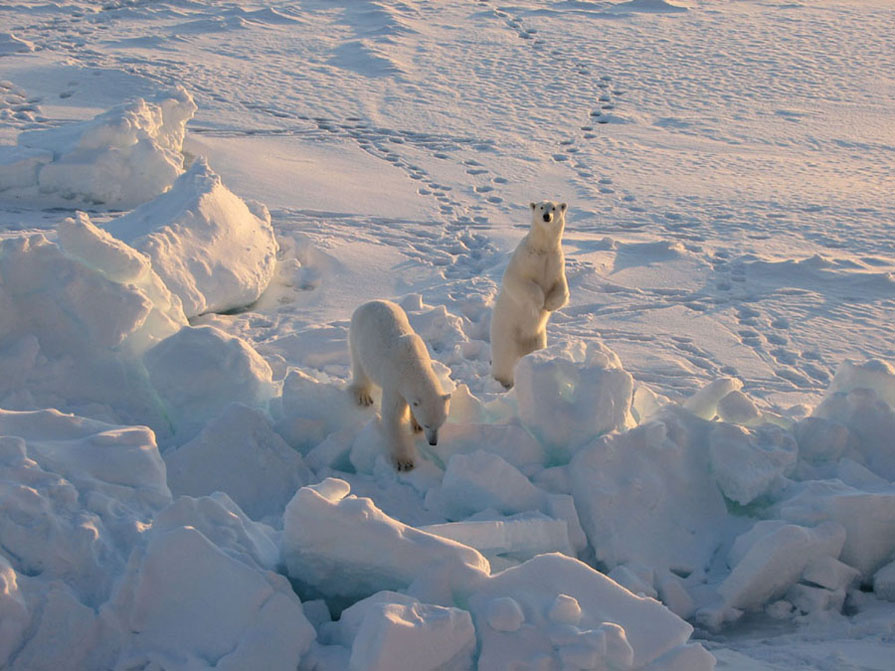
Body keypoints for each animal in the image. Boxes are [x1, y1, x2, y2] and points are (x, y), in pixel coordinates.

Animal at [348, 299, 451, 471]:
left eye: (440, 424)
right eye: (427, 424)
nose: (433, 443)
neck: (412, 363)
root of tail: (368, 303)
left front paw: (414, 425)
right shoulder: (394, 383)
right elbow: (393, 417)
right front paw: (404, 462)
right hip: (356, 336)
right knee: (360, 367)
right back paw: (363, 395)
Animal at [490, 200, 569, 388]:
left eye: (554, 208)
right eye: (541, 207)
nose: (546, 217)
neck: (542, 248)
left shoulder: (556, 262)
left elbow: (562, 288)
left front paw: (549, 305)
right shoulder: (524, 259)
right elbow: (517, 280)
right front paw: (540, 302)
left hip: (538, 338)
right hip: (506, 336)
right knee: (504, 361)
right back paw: (504, 382)